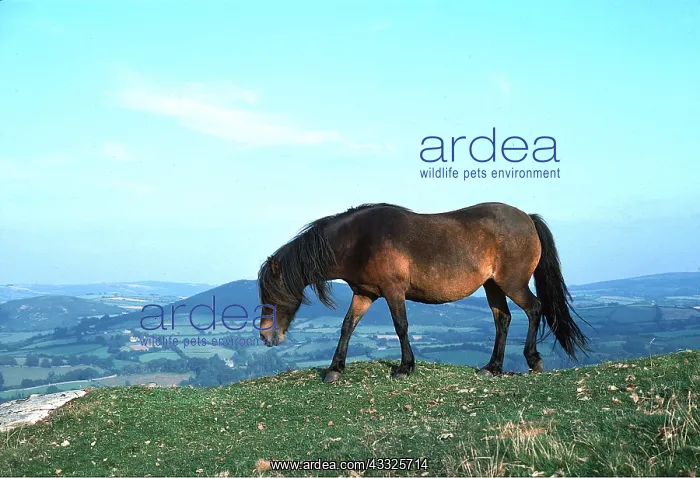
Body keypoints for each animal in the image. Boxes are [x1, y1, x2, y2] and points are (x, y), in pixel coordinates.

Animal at [257, 202, 589, 382]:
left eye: (271, 297)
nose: (266, 337)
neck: (359, 240)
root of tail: (527, 218)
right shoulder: (365, 294)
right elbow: (347, 326)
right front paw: (334, 369)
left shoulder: (393, 291)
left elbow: (401, 326)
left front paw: (405, 367)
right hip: (492, 286)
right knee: (503, 320)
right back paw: (492, 368)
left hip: (513, 284)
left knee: (534, 310)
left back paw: (533, 360)